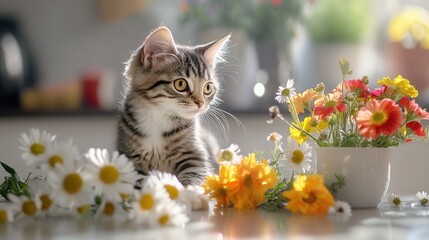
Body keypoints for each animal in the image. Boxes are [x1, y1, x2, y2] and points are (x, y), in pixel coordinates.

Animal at [116, 27, 231, 187]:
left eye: (208, 88)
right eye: (180, 84)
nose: (200, 103)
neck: (157, 116)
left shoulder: (194, 155)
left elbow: (195, 179)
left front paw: (186, 192)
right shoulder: (129, 157)